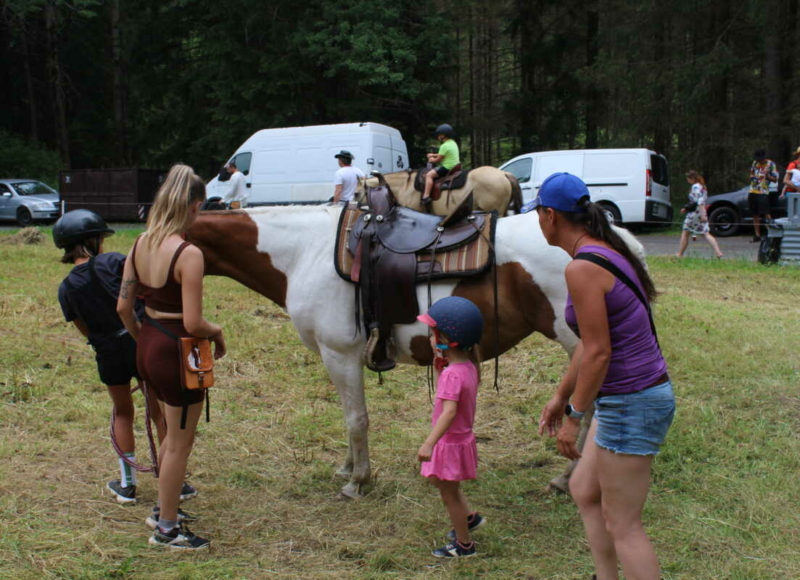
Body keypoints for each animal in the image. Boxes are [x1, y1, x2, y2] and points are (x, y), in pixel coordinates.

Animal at [187, 206, 645, 498]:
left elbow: (356, 419)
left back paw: (567, 478)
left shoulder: (340, 354)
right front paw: (348, 467)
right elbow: (351, 418)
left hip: (581, 344)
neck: (305, 252)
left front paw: (358, 481)